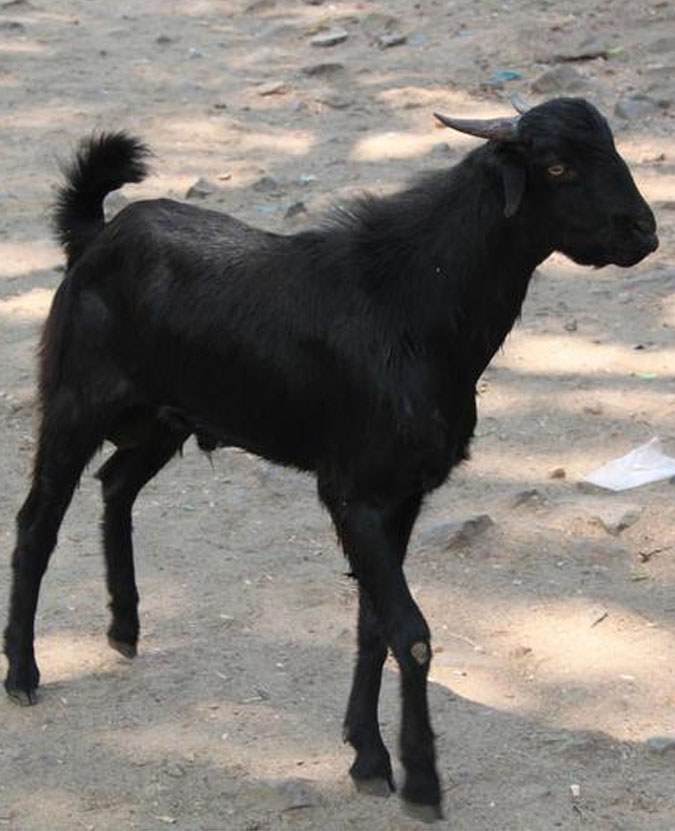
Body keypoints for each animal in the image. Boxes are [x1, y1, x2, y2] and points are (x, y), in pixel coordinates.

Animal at [3, 97, 657, 820]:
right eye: (557, 165)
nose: (644, 231)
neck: (411, 306)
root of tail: (95, 235)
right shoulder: (354, 493)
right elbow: (411, 632)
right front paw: (420, 781)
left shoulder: (403, 495)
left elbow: (375, 625)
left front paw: (367, 755)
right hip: (75, 402)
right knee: (37, 522)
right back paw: (23, 671)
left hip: (166, 418)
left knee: (116, 485)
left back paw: (124, 624)